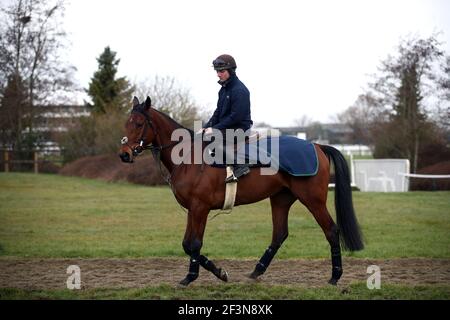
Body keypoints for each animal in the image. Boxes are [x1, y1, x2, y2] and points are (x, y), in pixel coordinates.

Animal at [118, 96, 362, 286]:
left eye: (139, 123)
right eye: (126, 123)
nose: (124, 154)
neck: (188, 157)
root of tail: (317, 146)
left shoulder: (200, 208)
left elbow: (193, 244)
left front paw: (192, 276)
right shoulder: (192, 210)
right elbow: (187, 244)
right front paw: (218, 272)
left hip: (313, 200)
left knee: (331, 230)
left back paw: (335, 276)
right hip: (281, 199)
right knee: (279, 234)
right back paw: (257, 270)